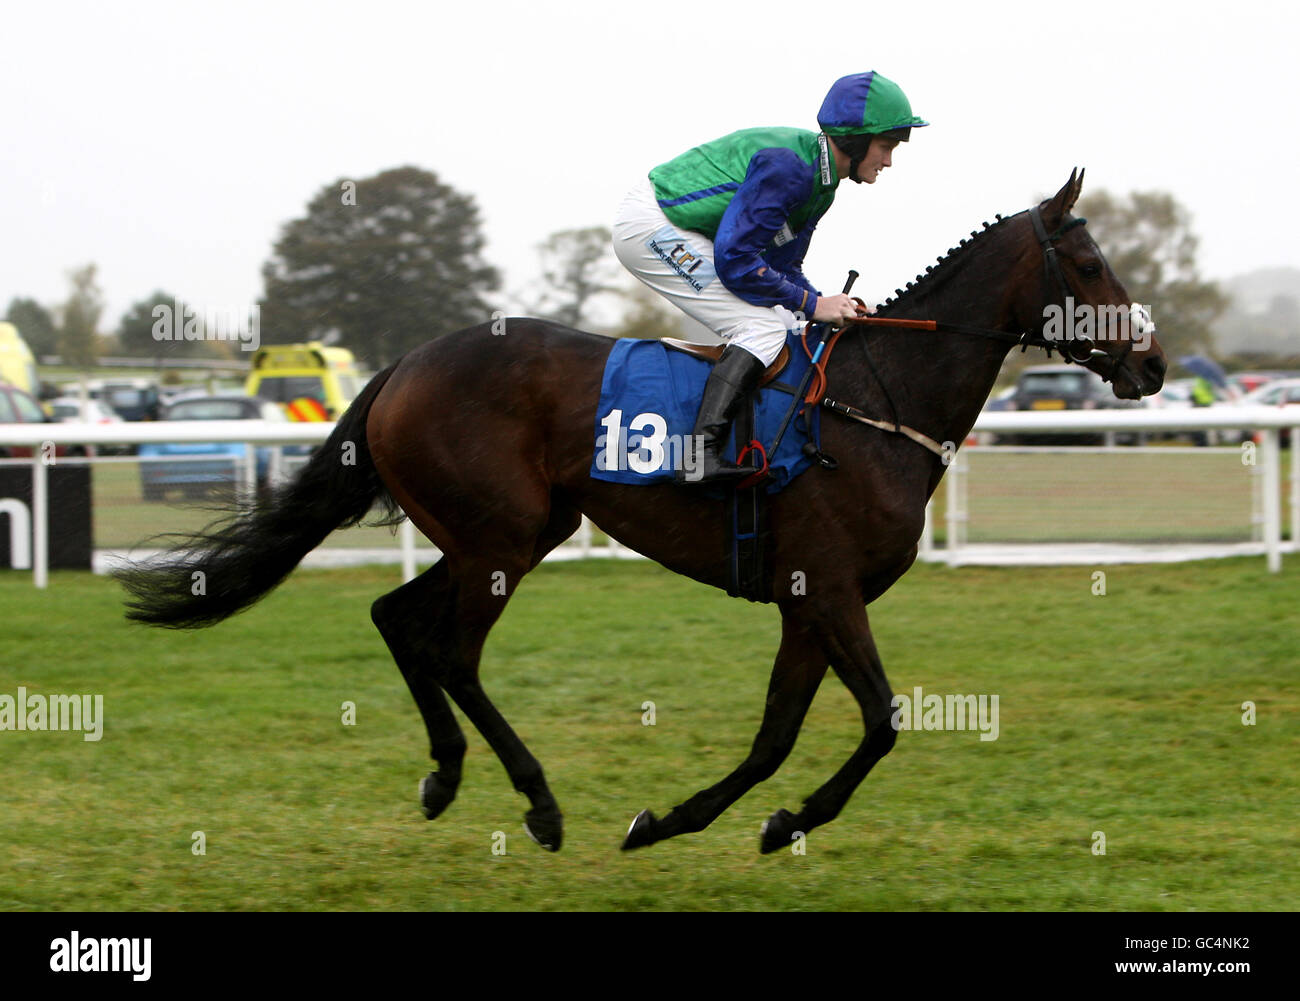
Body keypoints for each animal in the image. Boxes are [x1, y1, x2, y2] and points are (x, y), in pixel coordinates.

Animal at [119, 169, 1170, 852]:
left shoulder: (806, 602)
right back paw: (538, 803)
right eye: (1087, 263)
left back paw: (445, 774)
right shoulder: (829, 589)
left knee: (395, 618)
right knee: (450, 650)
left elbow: (776, 735)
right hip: (499, 539)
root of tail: (403, 365)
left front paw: (684, 820)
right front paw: (773, 820)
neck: (876, 403)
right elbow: (880, 720)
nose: (1154, 362)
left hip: (507, 531)